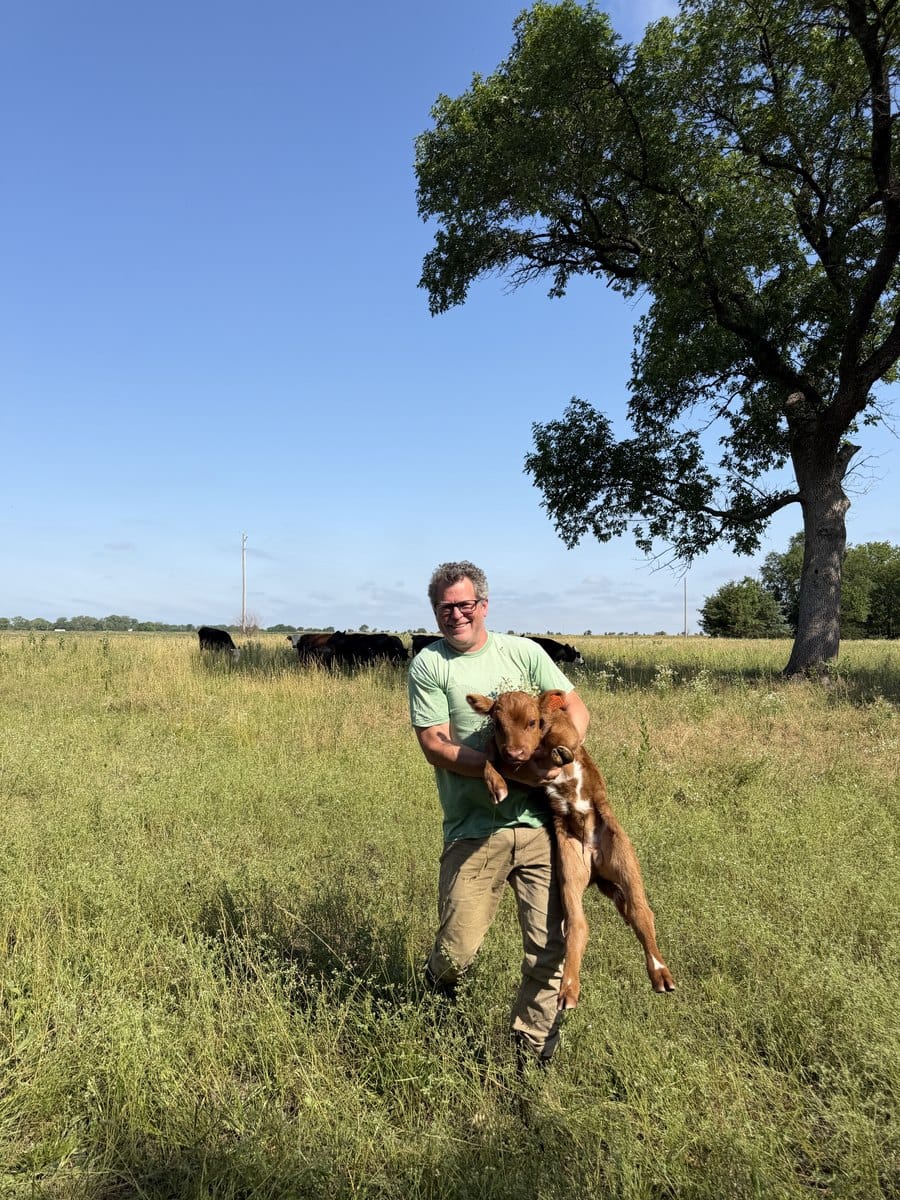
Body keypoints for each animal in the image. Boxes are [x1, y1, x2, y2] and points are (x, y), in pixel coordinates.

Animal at [466, 688, 675, 1009]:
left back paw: (660, 973)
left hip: (624, 856)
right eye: (497, 724)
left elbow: (560, 739)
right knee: (578, 925)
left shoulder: (567, 734)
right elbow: (489, 754)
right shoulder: (509, 759)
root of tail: (594, 854)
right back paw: (569, 989)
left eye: (533, 721)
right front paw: (497, 785)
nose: (515, 753)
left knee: (641, 912)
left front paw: (557, 752)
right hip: (569, 869)